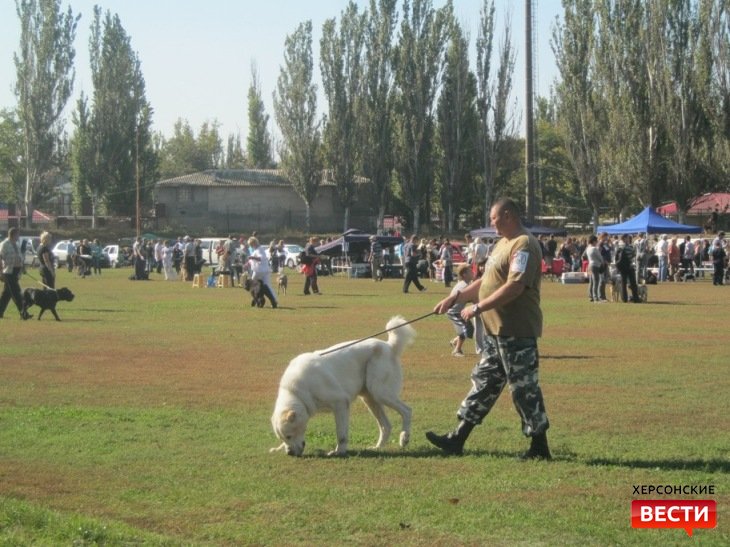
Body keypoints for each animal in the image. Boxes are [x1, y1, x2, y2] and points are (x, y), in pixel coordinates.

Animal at [268, 314, 416, 456]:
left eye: (289, 436)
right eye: (283, 438)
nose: (290, 453)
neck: (297, 392)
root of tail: (389, 346)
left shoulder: (340, 403)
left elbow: (341, 434)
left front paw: (339, 451)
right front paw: (277, 448)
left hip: (380, 393)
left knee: (407, 411)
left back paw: (404, 438)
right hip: (370, 399)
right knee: (386, 426)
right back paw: (378, 447)